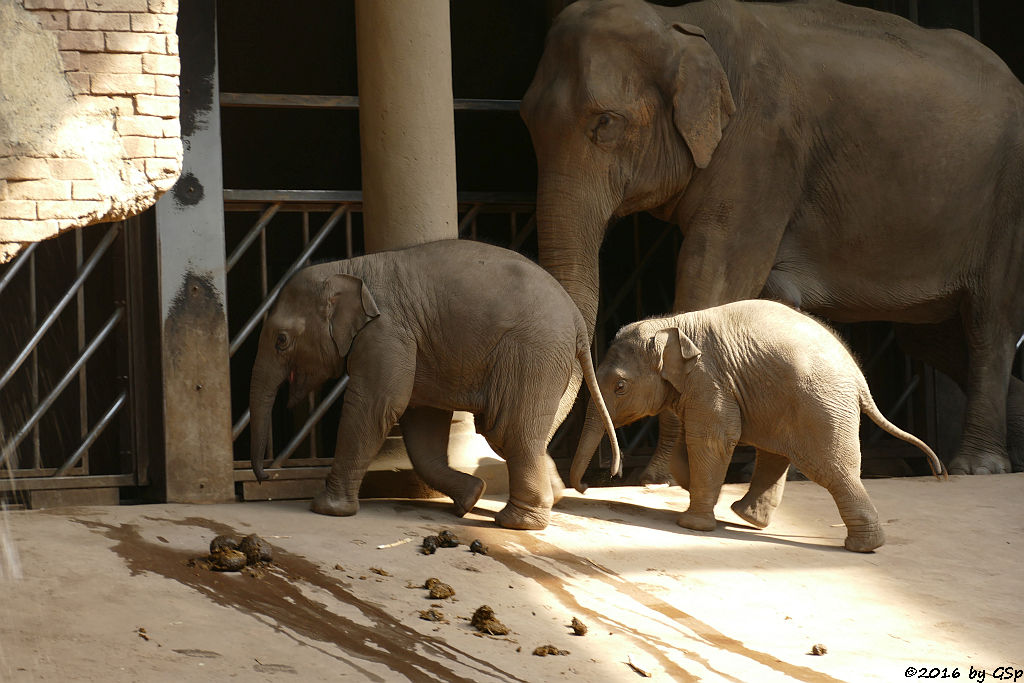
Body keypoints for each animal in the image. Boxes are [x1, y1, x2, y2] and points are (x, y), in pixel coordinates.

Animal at [250, 242, 618, 532]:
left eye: (281, 341)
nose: (264, 477)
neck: (348, 267)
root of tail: (577, 321)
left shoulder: (387, 332)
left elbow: (377, 405)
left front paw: (326, 509)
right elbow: (420, 422)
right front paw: (470, 498)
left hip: (534, 354)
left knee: (508, 432)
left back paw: (517, 522)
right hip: (557, 366)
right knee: (523, 435)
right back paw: (551, 497)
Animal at [524, 0, 1024, 479]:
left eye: (606, 122)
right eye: (527, 124)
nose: (589, 478)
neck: (677, 21)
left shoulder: (760, 148)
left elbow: (712, 275)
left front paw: (660, 477)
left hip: (1006, 201)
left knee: (988, 323)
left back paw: (979, 466)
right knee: (927, 336)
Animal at [573, 299, 937, 548]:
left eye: (620, 387)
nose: (588, 485)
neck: (671, 323)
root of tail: (861, 380)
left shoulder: (710, 379)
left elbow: (714, 438)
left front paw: (692, 525)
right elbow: (696, 443)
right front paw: (702, 493)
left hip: (821, 407)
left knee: (833, 470)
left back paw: (863, 546)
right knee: (777, 455)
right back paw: (746, 517)